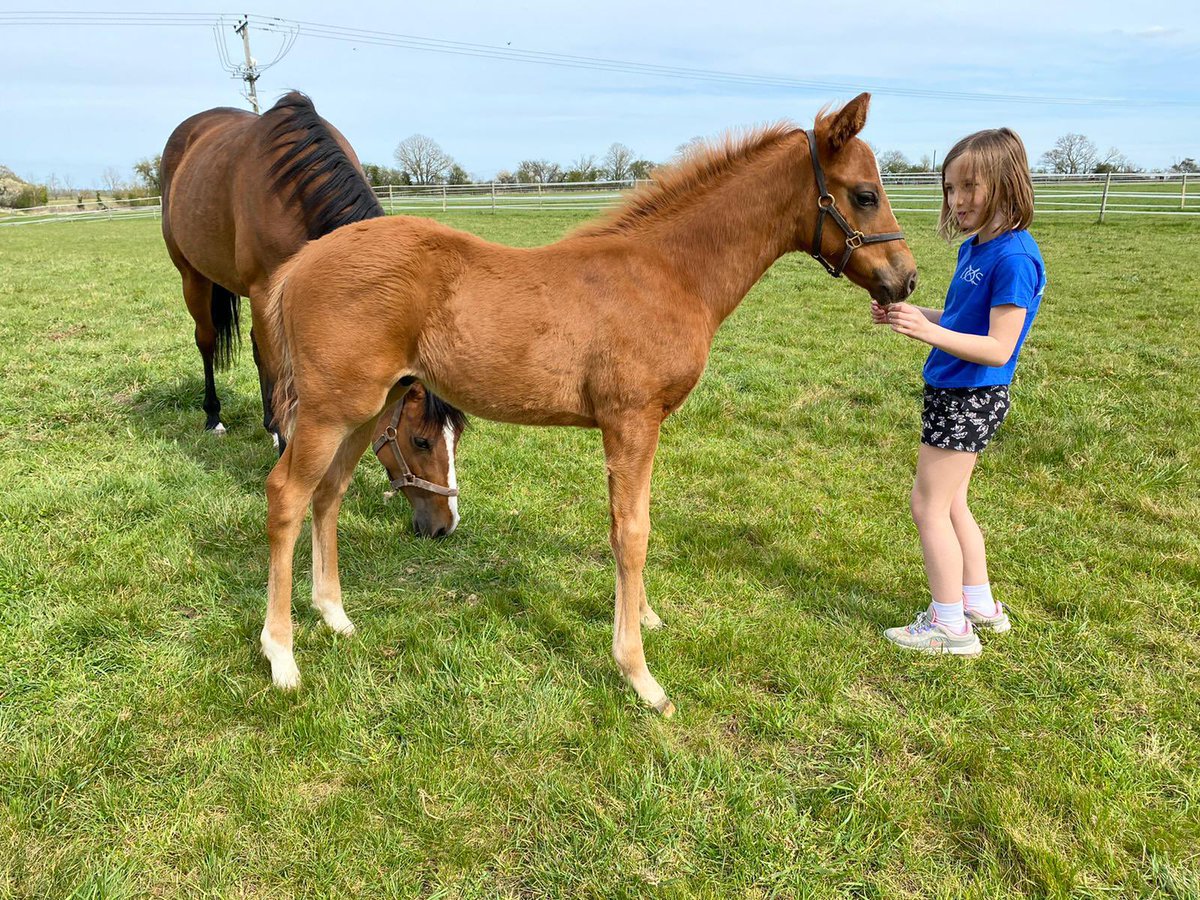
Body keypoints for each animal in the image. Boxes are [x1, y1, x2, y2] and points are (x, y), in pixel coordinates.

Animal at [159, 91, 465, 536]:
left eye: (456, 437)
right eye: (420, 440)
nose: (445, 526)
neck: (294, 191)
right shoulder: (264, 290)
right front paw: (289, 450)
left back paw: (269, 425)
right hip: (193, 277)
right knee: (208, 341)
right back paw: (214, 418)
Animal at [258, 93, 917, 712]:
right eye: (863, 195)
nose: (906, 279)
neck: (669, 272)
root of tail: (300, 263)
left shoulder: (640, 426)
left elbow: (634, 521)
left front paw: (645, 618)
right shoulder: (630, 419)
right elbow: (632, 532)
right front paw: (640, 676)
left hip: (368, 408)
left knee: (329, 492)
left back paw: (334, 616)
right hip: (330, 410)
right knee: (287, 494)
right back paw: (282, 656)